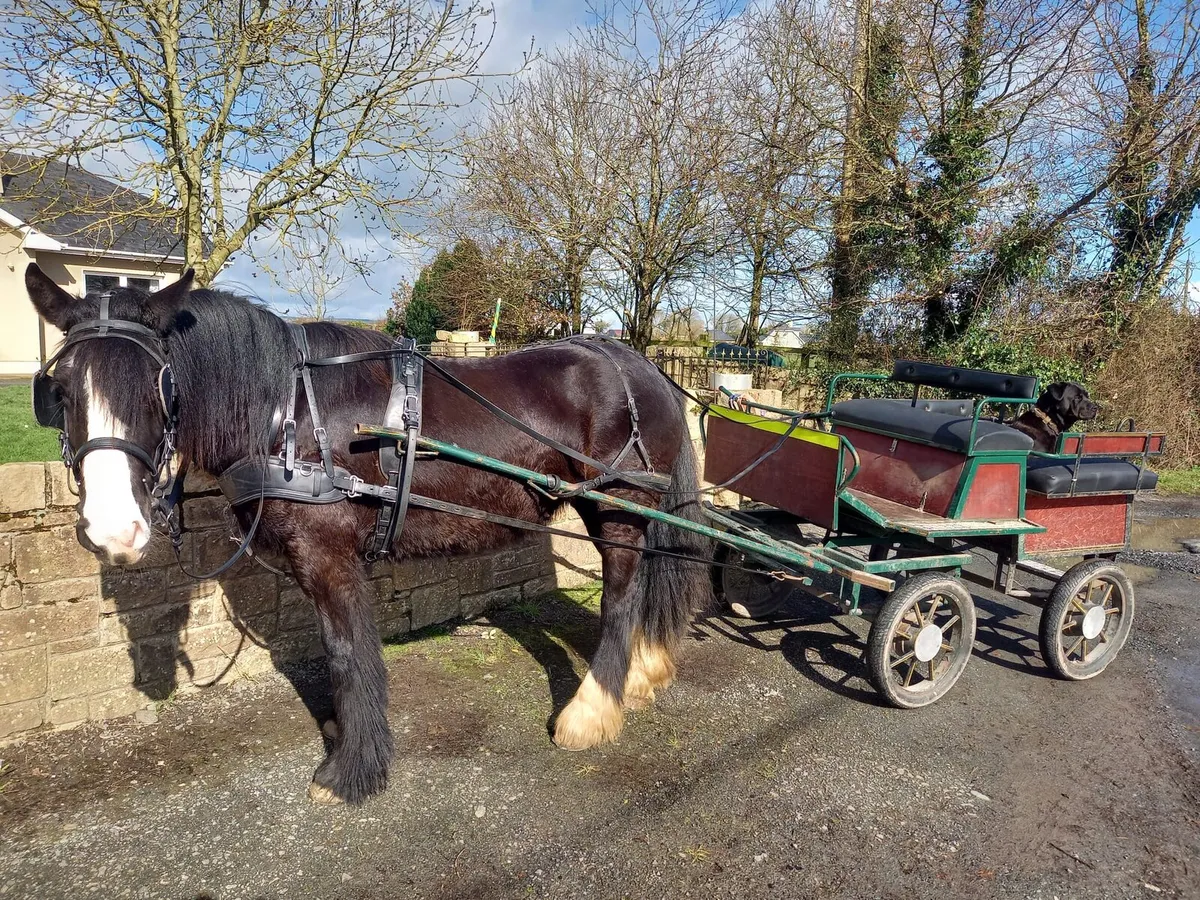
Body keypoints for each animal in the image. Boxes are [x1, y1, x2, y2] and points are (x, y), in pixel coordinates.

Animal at [25, 264, 712, 805]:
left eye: (161, 385)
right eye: (58, 390)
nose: (114, 528)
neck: (287, 410)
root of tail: (636, 362)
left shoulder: (329, 558)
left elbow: (346, 653)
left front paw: (351, 770)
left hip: (618, 506)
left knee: (620, 596)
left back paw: (592, 710)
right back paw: (643, 674)